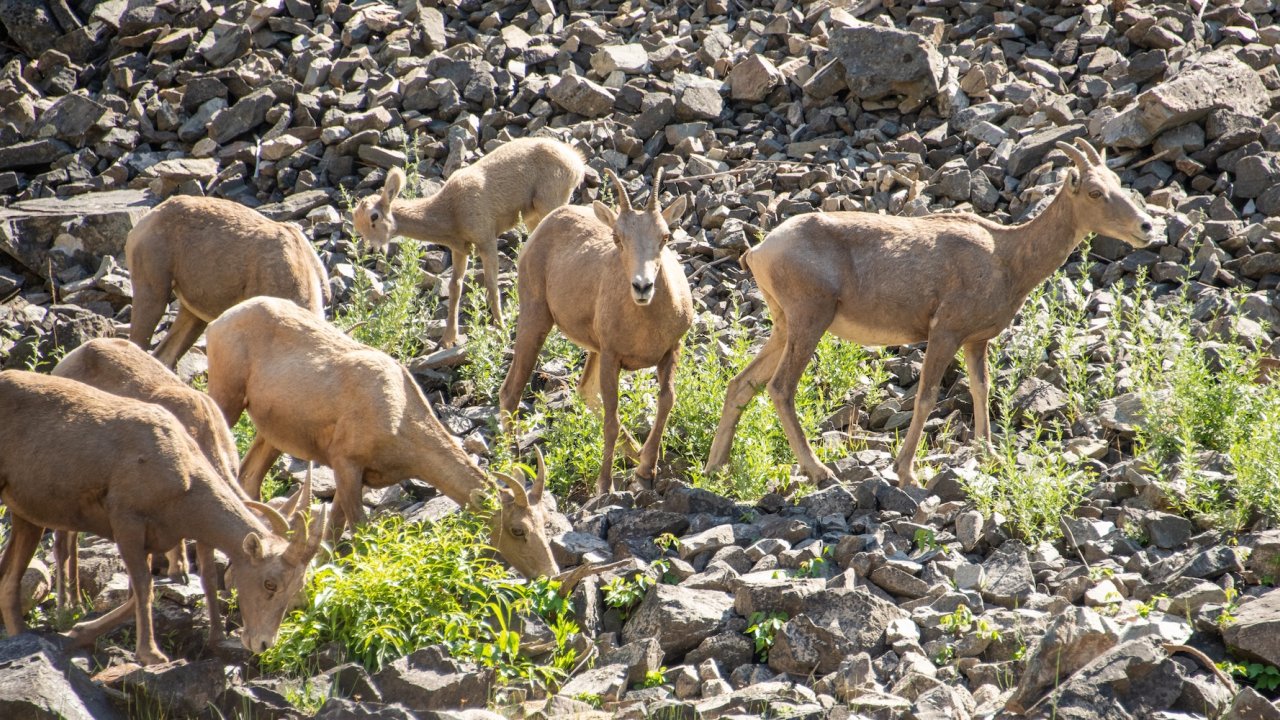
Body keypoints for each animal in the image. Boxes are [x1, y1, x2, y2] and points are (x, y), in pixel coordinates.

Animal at [0, 370, 325, 665]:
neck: (184, 477)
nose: (262, 643)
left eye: (296, 588)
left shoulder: (152, 541)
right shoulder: (127, 524)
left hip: (26, 518)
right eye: (270, 584)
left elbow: (139, 594)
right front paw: (151, 655)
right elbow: (145, 589)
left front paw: (77, 634)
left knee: (8, 579)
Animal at [204, 296, 563, 580]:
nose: (551, 575)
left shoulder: (356, 475)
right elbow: (359, 532)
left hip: (271, 434)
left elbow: (333, 533)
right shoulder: (345, 463)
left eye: (545, 521)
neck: (399, 421)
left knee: (248, 477)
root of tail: (217, 324)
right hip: (226, 396)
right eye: (518, 529)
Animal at [352, 136, 585, 348]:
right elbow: (455, 287)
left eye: (374, 216)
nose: (372, 249)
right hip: (532, 217)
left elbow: (491, 284)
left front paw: (500, 329)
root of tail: (576, 162)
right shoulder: (459, 250)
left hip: (550, 202)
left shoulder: (486, 240)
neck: (451, 213)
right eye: (356, 223)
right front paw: (448, 339)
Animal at [499, 168, 693, 496]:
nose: (642, 287)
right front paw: (605, 486)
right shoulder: (613, 357)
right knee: (510, 392)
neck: (646, 324)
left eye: (664, 236)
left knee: (585, 391)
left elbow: (666, 401)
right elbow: (611, 418)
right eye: (618, 237)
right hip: (535, 320)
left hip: (592, 349)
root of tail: (547, 223)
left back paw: (637, 453)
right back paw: (516, 470)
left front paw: (645, 472)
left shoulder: (670, 350)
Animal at [706, 138, 1160, 488]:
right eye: (1094, 192)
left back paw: (716, 469)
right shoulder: (944, 334)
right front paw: (907, 474)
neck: (1006, 257)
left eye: (1118, 184)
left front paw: (988, 455)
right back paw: (820, 472)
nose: (1146, 227)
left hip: (784, 327)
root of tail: (759, 251)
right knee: (780, 388)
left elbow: (981, 389)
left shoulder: (976, 342)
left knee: (741, 385)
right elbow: (926, 398)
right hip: (809, 322)